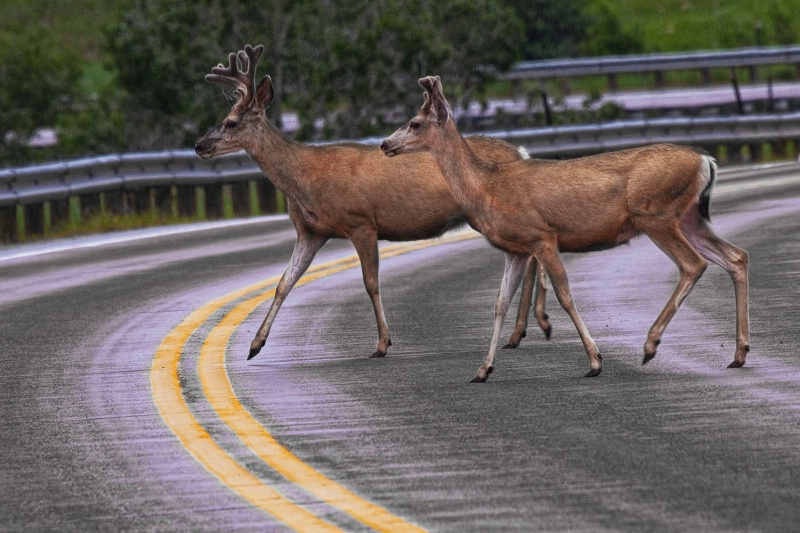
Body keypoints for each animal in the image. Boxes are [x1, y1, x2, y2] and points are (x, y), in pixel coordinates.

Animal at [197, 45, 552, 360]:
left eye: (230, 122)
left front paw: (383, 344)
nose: (200, 145)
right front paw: (255, 345)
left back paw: (523, 330)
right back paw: (519, 332)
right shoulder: (311, 232)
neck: (306, 178)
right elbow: (284, 283)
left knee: (532, 257)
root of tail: (521, 152)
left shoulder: (361, 222)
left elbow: (371, 283)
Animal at [382, 77, 752, 380]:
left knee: (694, 264)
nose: (385, 144)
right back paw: (739, 354)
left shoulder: (542, 236)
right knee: (736, 256)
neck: (487, 189)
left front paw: (595, 361)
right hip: (687, 217)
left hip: (656, 215)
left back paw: (650, 345)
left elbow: (565, 295)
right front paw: (483, 370)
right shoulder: (516, 249)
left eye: (414, 123)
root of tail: (707, 161)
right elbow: (500, 301)